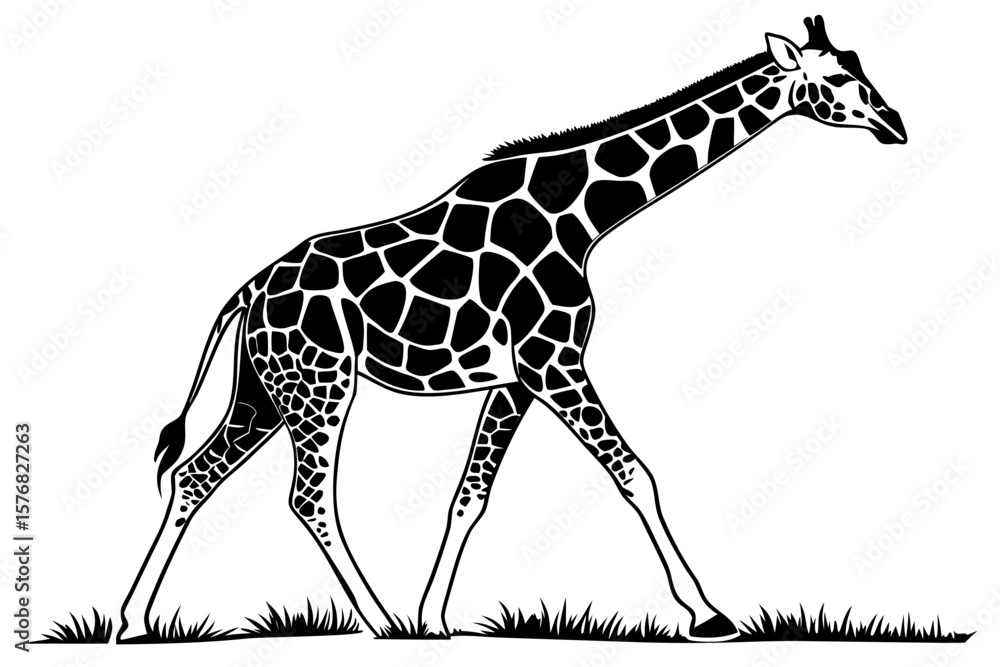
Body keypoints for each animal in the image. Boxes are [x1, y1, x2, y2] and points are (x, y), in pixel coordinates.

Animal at [118, 16, 906, 643]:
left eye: (861, 63)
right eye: (838, 75)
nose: (895, 125)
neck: (582, 214)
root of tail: (248, 291)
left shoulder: (516, 378)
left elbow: (470, 496)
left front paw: (434, 617)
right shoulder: (553, 361)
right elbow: (635, 473)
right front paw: (708, 613)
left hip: (266, 390)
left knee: (192, 476)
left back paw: (133, 621)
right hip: (319, 384)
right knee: (308, 497)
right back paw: (379, 621)